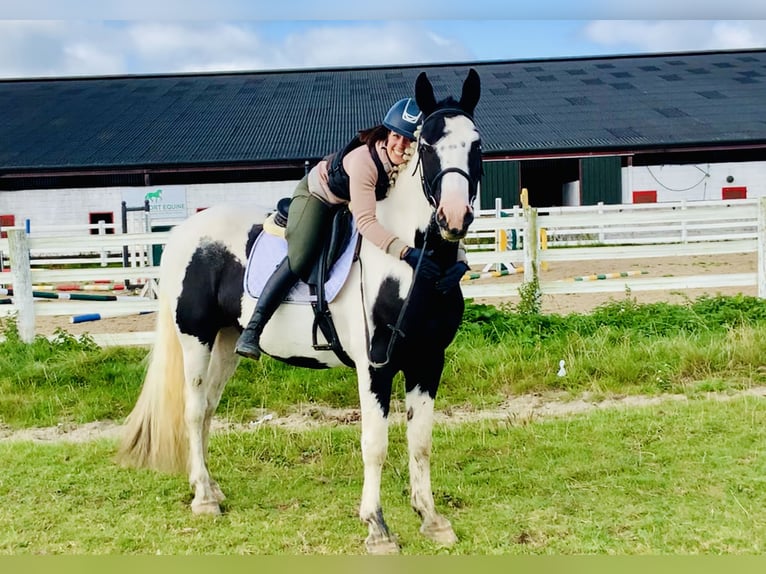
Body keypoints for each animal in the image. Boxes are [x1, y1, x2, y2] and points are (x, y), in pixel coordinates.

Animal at [117, 68, 484, 560]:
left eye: (476, 144)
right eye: (426, 145)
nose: (453, 217)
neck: (412, 266)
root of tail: (182, 234)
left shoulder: (428, 362)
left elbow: (421, 441)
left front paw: (431, 519)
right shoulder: (376, 367)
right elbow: (375, 444)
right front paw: (377, 527)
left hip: (228, 341)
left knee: (209, 407)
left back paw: (210, 489)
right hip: (195, 338)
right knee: (194, 411)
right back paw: (203, 499)